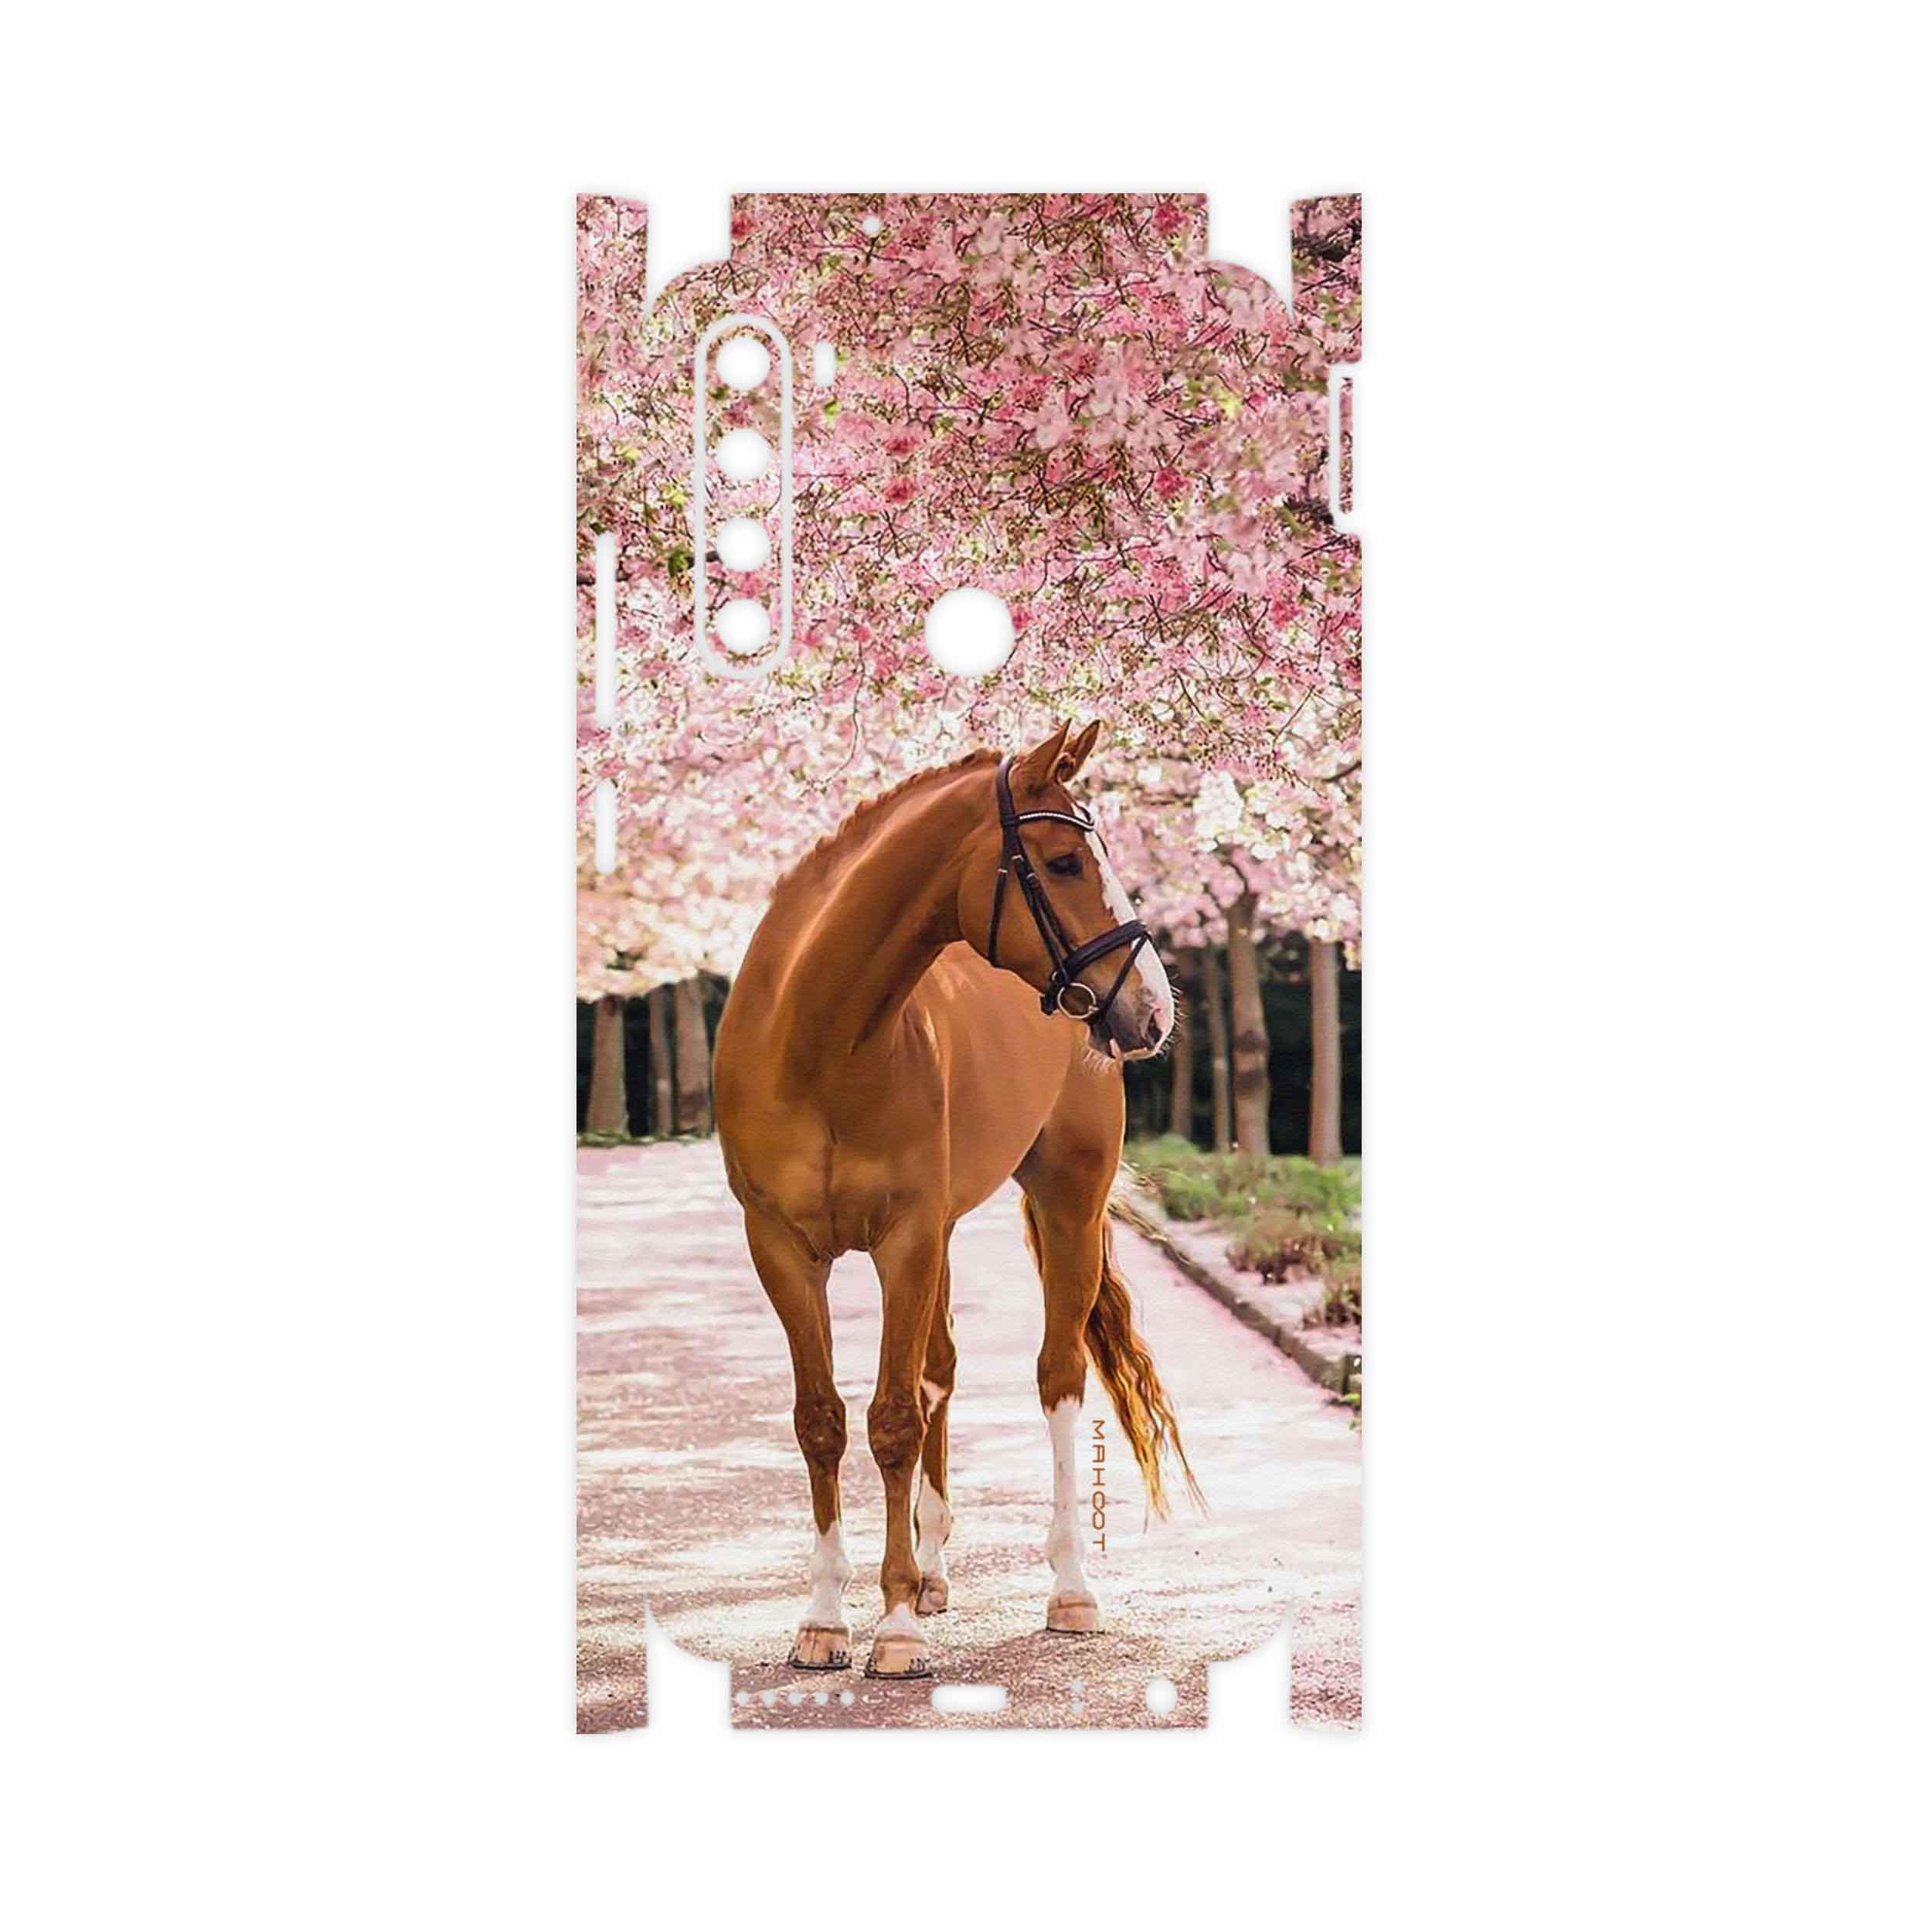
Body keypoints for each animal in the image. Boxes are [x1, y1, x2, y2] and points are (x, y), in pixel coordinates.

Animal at [713, 719, 1198, 1679]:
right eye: (1061, 862)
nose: (1153, 1010)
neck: (819, 1039)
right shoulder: (782, 1248)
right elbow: (822, 1419)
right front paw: (825, 1618)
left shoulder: (904, 1238)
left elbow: (894, 1419)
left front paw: (894, 1628)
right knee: (939, 1369)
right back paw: (934, 1572)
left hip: (1066, 1204)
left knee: (1056, 1378)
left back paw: (1067, 1589)